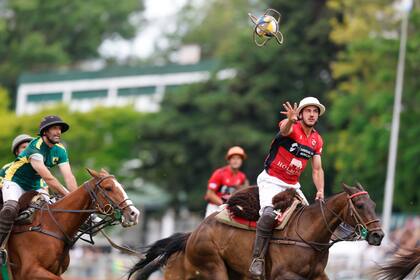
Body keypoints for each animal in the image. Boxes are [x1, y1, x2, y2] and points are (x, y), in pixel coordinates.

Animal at [128, 183, 384, 278]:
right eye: (360, 205)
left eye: (373, 204)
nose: (379, 235)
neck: (308, 235)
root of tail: (192, 234)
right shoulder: (283, 275)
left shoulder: (318, 275)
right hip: (213, 266)